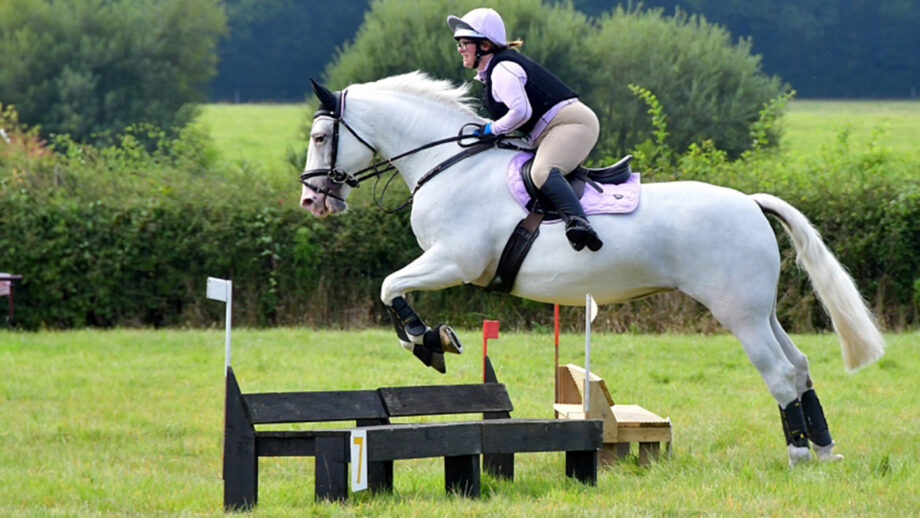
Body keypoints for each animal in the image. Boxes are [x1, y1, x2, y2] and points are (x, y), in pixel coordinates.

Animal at [299, 71, 884, 467]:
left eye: (321, 138)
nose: (312, 200)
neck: (449, 165)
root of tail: (751, 202)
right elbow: (391, 290)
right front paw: (430, 340)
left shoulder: (454, 260)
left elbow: (389, 287)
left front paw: (429, 340)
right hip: (759, 311)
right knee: (800, 366)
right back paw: (826, 451)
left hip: (737, 314)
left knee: (781, 374)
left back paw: (798, 458)